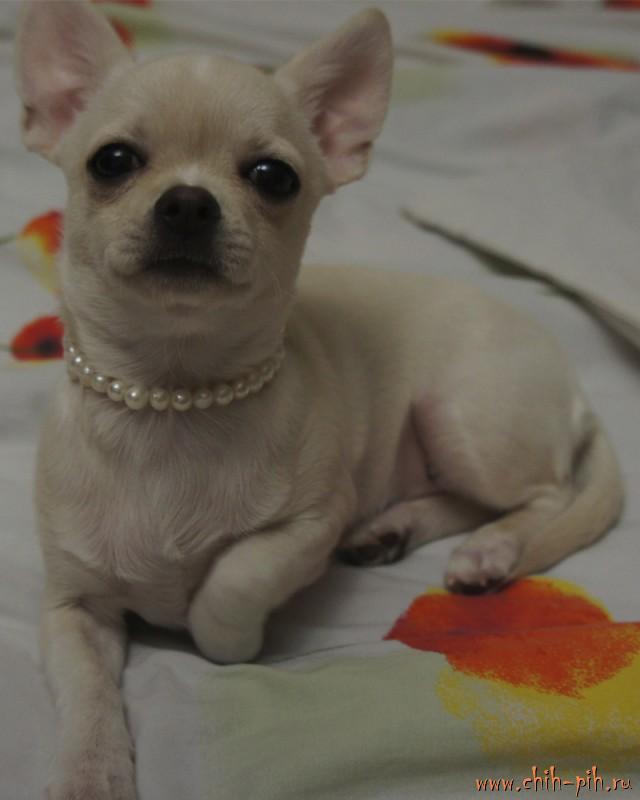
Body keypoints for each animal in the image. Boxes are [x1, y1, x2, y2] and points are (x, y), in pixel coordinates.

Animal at [16, 1, 623, 797]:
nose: (188, 201)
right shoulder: (72, 609)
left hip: (464, 417)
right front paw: (91, 771)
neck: (169, 398)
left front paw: (223, 636)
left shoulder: (310, 526)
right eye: (111, 162)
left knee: (541, 497)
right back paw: (394, 529)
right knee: (467, 499)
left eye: (273, 177)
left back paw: (490, 549)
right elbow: (87, 693)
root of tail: (573, 383)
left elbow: (233, 578)